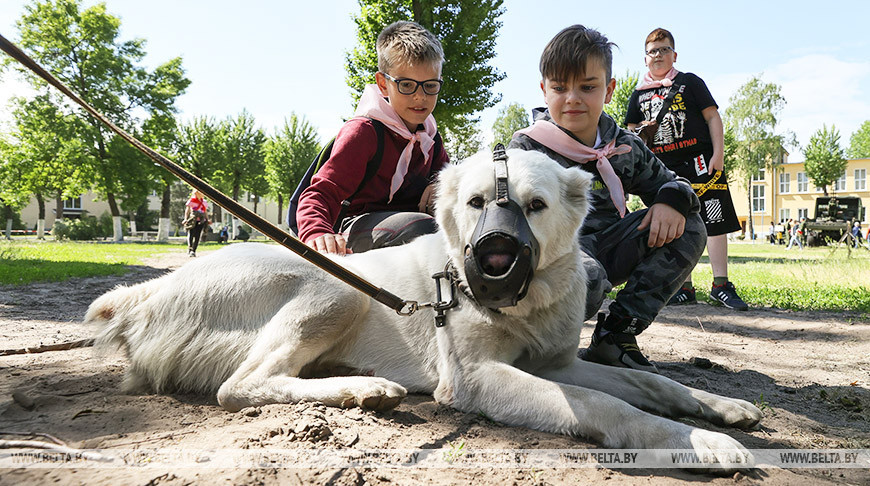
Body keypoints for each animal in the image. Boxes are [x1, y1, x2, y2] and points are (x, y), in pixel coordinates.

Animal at [85, 150, 760, 472]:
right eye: (478, 201)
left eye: (535, 206)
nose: (493, 253)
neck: (523, 305)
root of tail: (149, 294)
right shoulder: (478, 380)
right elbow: (605, 403)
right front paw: (696, 443)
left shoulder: (557, 365)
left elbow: (648, 382)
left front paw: (719, 409)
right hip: (338, 290)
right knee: (240, 386)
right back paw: (363, 391)